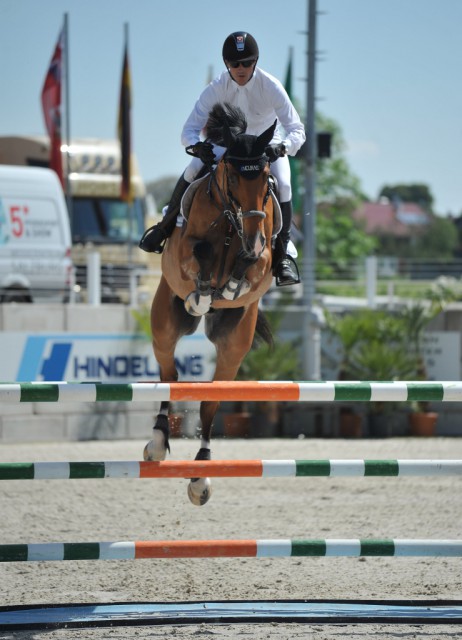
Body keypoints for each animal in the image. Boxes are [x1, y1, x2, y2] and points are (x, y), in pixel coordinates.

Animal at [143, 104, 278, 504]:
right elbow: (201, 250)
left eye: (266, 178)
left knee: (210, 402)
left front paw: (231, 283)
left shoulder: (263, 256)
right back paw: (157, 441)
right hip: (164, 325)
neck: (231, 223)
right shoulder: (185, 248)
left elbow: (252, 263)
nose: (252, 234)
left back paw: (201, 474)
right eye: (232, 175)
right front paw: (203, 292)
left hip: (233, 346)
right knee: (170, 376)